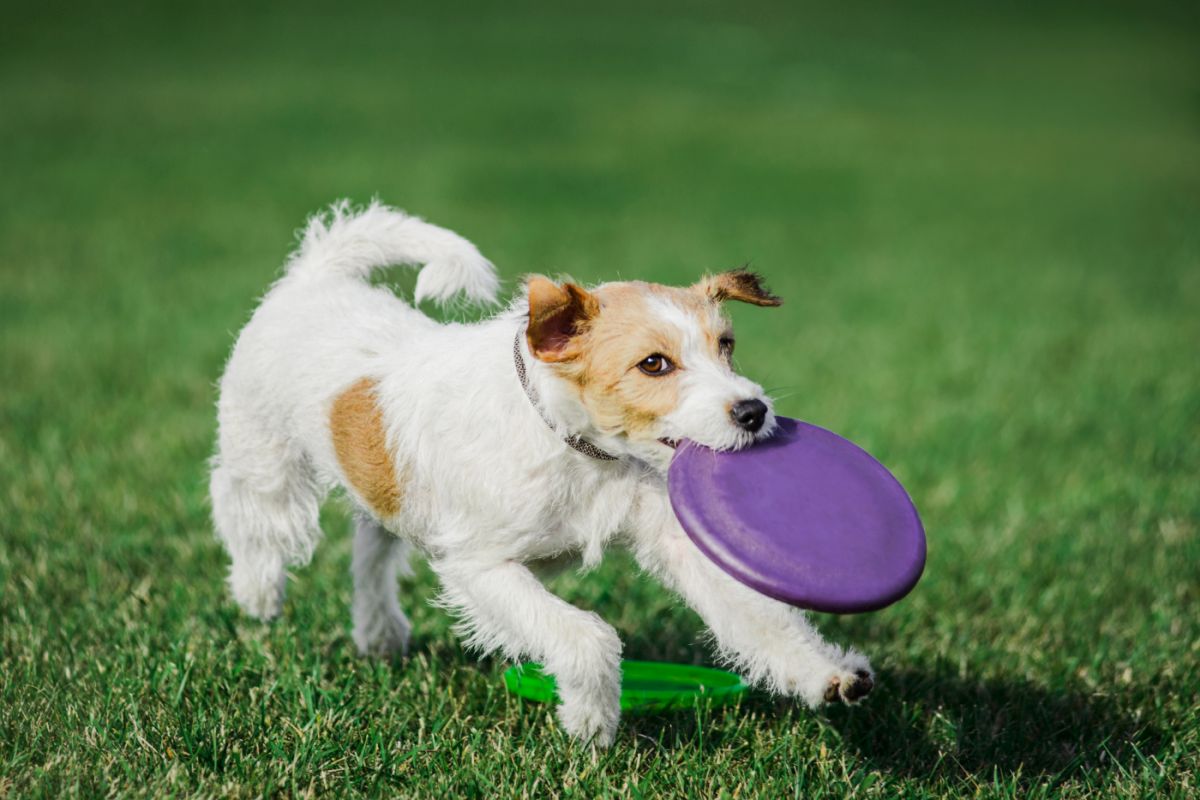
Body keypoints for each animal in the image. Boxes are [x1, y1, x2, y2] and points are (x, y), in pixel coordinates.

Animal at [211, 203, 873, 748]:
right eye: (653, 364)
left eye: (727, 345)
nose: (753, 411)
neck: (575, 447)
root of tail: (317, 276)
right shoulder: (482, 566)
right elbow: (583, 634)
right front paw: (593, 720)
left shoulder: (672, 537)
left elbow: (757, 613)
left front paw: (830, 674)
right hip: (264, 458)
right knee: (249, 514)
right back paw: (257, 593)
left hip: (387, 487)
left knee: (372, 551)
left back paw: (379, 633)